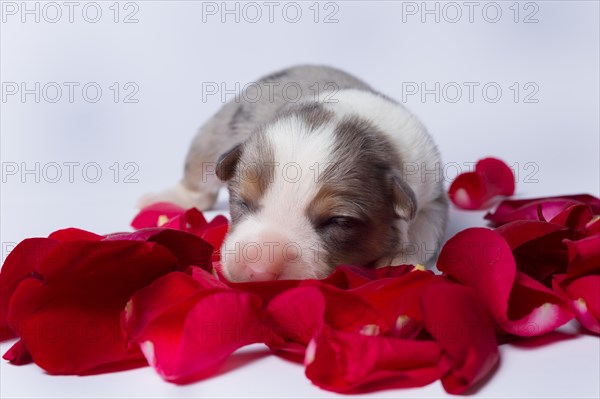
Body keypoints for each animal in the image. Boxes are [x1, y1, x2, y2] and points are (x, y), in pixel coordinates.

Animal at [141, 65, 448, 282]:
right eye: (242, 202)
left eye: (339, 221)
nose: (257, 270)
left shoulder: (430, 190)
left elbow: (425, 226)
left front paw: (399, 256)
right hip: (217, 131)